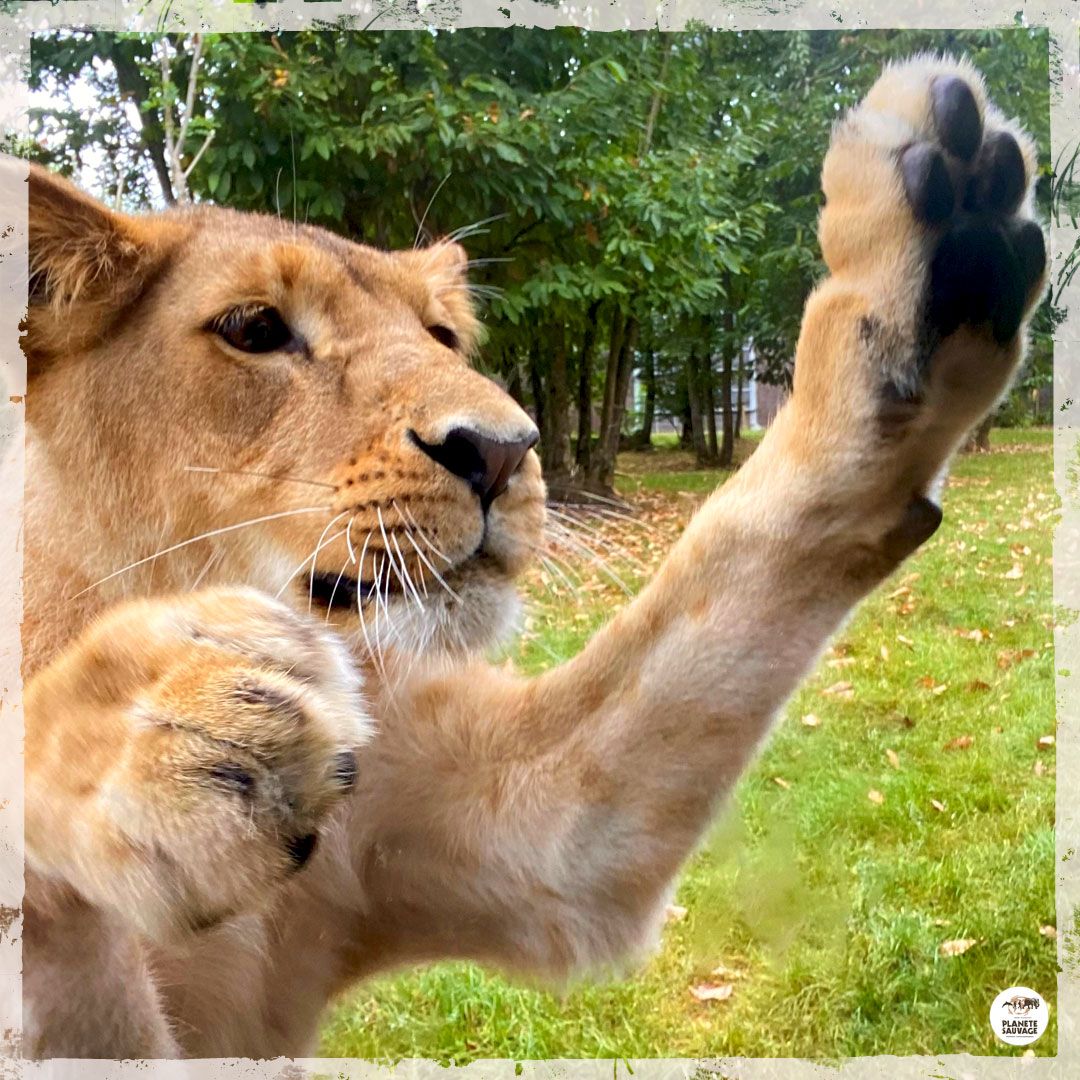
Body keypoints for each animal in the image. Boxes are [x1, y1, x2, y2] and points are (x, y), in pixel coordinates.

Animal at [13, 56, 1046, 1057]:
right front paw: (166, 733)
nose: (504, 451)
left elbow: (737, 554)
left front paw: (934, 251)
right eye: (255, 330)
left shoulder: (527, 833)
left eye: (440, 334)